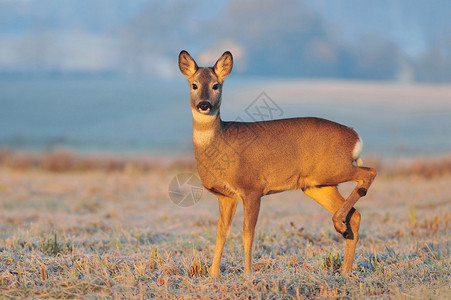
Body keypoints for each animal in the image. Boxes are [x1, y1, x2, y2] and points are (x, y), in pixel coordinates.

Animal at [178, 49, 376, 276]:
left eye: (215, 85)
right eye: (194, 85)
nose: (204, 105)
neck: (222, 142)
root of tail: (355, 137)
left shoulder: (252, 188)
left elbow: (247, 232)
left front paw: (248, 274)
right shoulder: (225, 196)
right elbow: (220, 234)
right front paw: (213, 276)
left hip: (334, 168)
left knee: (369, 172)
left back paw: (341, 228)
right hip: (318, 185)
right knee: (356, 215)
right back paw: (344, 268)